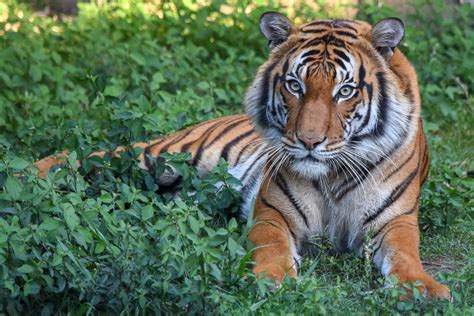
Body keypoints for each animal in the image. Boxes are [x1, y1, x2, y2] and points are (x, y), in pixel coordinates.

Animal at [32, 12, 448, 298]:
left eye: (345, 91)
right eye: (294, 85)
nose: (308, 141)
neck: (331, 175)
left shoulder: (396, 221)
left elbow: (406, 255)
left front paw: (424, 289)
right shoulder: (274, 211)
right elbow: (272, 246)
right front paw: (274, 280)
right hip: (157, 157)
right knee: (84, 156)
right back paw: (30, 174)